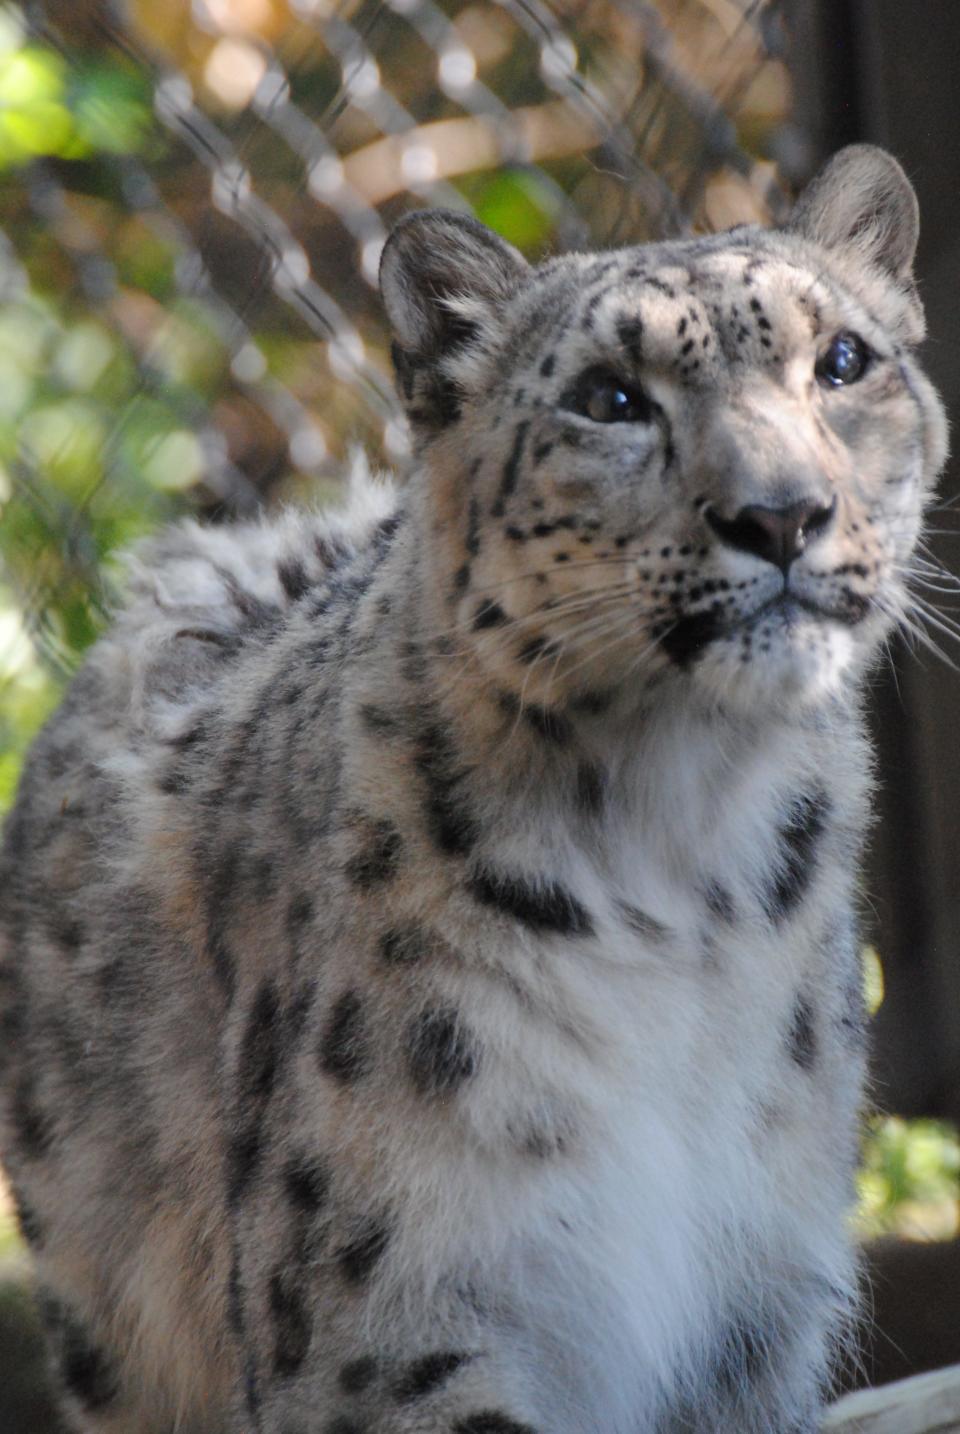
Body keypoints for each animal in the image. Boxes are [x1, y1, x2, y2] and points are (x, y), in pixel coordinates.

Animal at [0, 148, 947, 1434]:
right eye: (611, 398)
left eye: (843, 360)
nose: (783, 514)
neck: (691, 847)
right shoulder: (391, 1319)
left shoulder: (754, 1318)